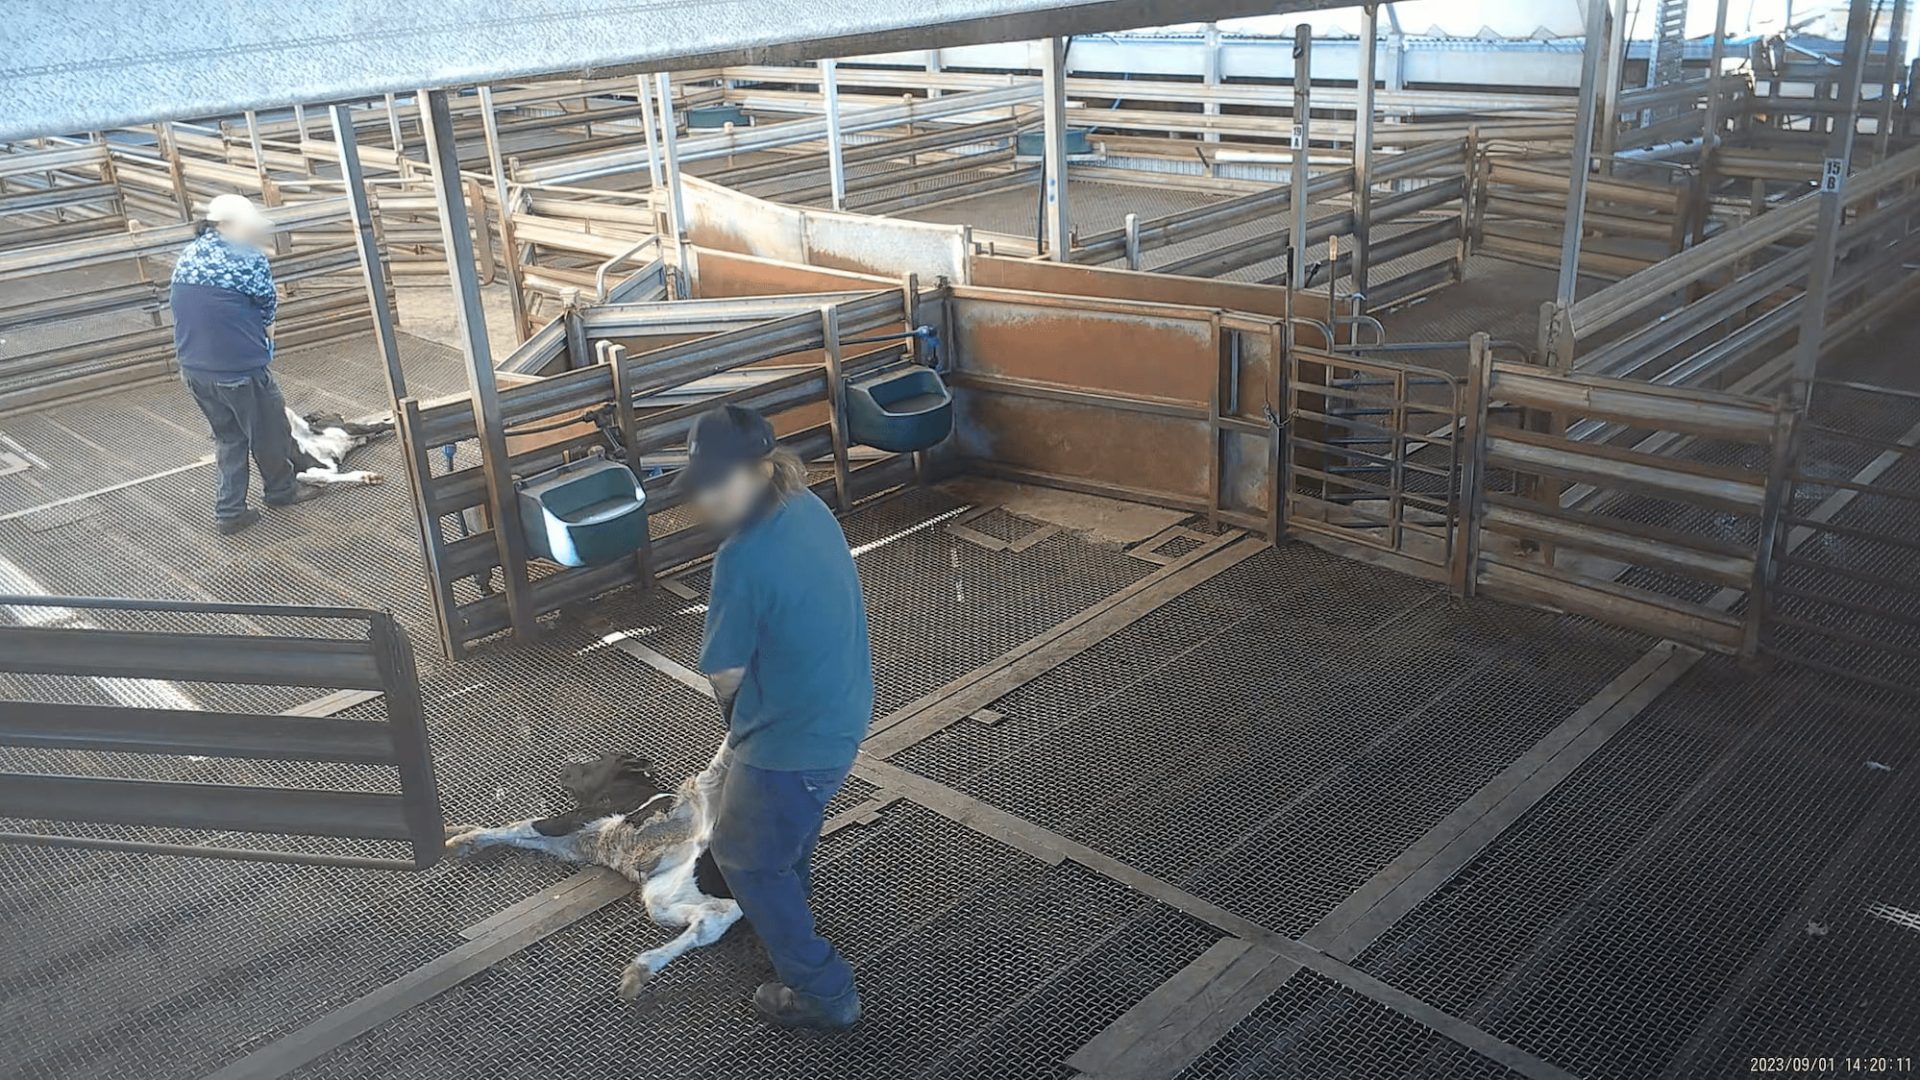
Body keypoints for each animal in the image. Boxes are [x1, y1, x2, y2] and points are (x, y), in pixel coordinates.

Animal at [443, 745, 741, 999]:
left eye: (599, 758)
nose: (565, 766)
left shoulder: (577, 819)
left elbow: (522, 826)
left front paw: (458, 840)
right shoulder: (573, 843)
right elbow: (519, 834)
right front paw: (460, 834)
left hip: (697, 799)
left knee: (713, 772)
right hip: (665, 895)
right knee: (708, 922)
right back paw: (638, 974)